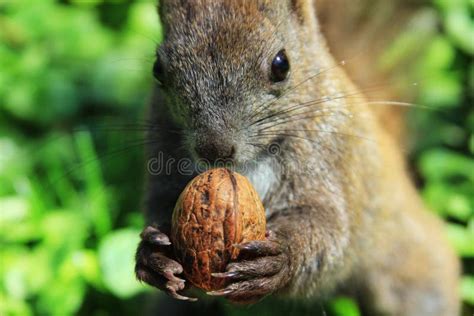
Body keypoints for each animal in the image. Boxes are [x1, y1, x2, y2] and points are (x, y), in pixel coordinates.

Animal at [133, 1, 460, 314]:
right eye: (158, 69)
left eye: (281, 64)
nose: (214, 149)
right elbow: (162, 204)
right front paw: (154, 254)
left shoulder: (333, 159)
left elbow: (329, 226)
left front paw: (279, 257)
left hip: (408, 264)